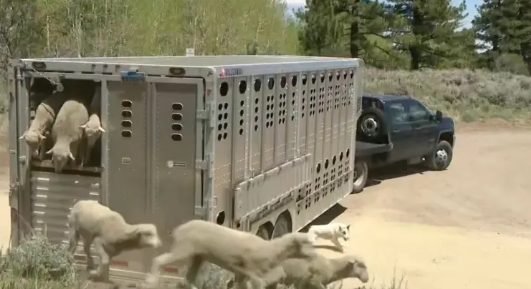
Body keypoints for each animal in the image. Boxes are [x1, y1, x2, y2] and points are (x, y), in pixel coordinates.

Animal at [142, 218, 316, 288]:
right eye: (307, 243)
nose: (314, 255)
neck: (271, 249)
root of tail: (178, 229)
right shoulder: (251, 271)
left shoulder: (241, 274)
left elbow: (241, 286)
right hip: (182, 249)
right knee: (159, 260)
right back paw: (150, 281)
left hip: (198, 256)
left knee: (189, 278)